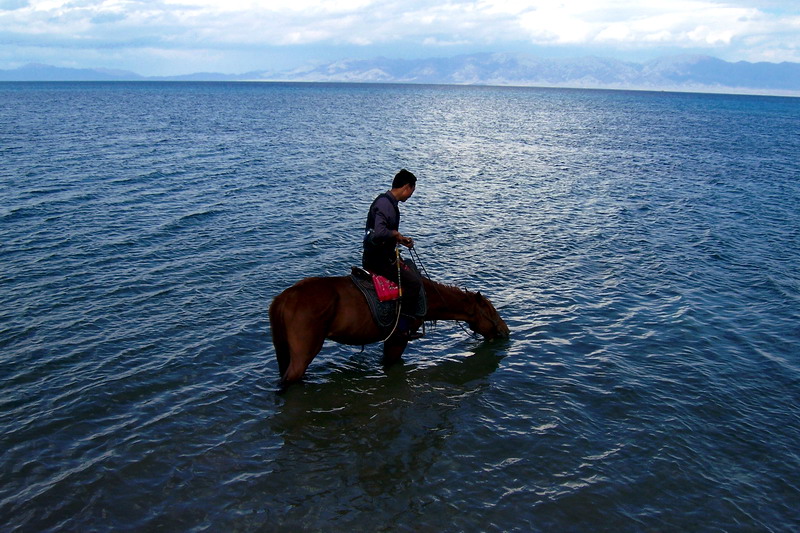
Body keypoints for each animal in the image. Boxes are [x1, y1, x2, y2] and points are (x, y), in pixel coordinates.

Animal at [268, 274, 506, 382]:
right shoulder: (398, 338)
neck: (427, 297)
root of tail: (283, 298)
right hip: (303, 353)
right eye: (490, 310)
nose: (505, 330)